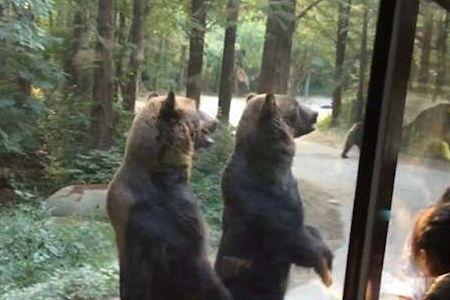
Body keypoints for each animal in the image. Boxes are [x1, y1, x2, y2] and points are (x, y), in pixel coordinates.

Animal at [214, 94, 334, 300]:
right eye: (295, 105)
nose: (315, 113)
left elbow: (308, 230)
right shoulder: (269, 202)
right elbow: (292, 239)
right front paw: (326, 266)